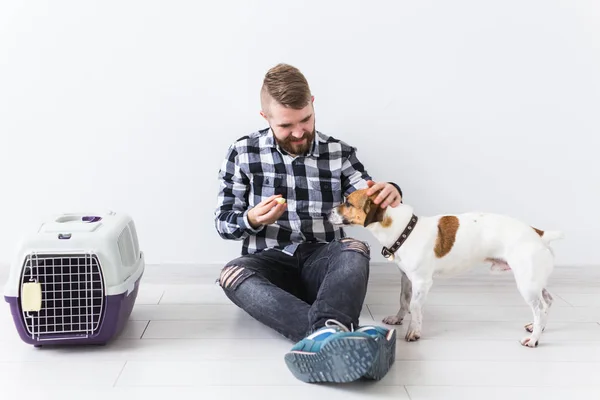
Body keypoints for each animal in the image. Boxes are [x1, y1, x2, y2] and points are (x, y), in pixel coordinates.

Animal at [328, 188, 564, 346]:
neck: (405, 230)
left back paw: (533, 339)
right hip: (534, 281)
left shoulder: (422, 282)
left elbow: (415, 307)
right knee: (548, 302)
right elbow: (404, 300)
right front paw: (398, 318)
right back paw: (537, 327)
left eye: (348, 203)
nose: (328, 211)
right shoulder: (406, 277)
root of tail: (538, 233)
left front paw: (414, 331)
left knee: (540, 307)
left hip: (526, 282)